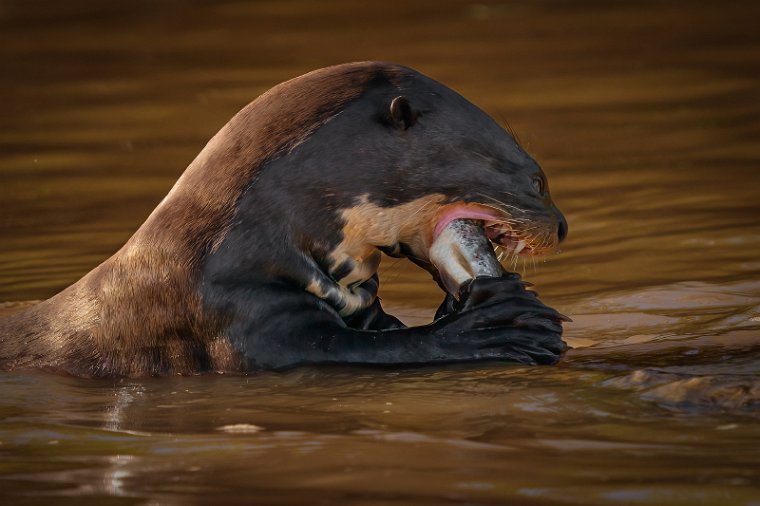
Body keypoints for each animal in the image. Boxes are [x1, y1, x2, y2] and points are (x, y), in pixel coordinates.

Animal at [0, 62, 568, 376]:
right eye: (538, 180)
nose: (562, 225)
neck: (230, 254)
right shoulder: (237, 322)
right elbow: (390, 348)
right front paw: (504, 323)